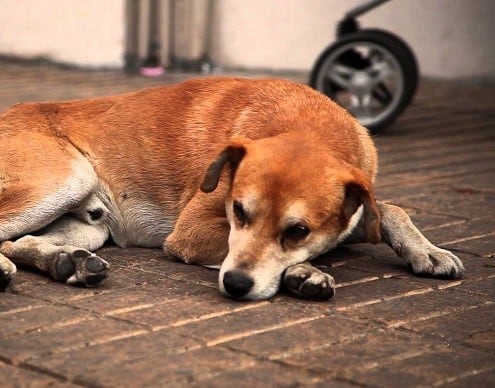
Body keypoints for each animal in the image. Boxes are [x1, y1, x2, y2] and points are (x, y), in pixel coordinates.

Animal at [0, 76, 464, 300]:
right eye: (238, 211)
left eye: (298, 230)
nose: (237, 285)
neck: (306, 126)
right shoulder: (190, 232)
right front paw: (302, 272)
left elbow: (390, 211)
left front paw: (428, 250)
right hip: (64, 178)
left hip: (89, 221)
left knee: (17, 241)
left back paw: (68, 262)